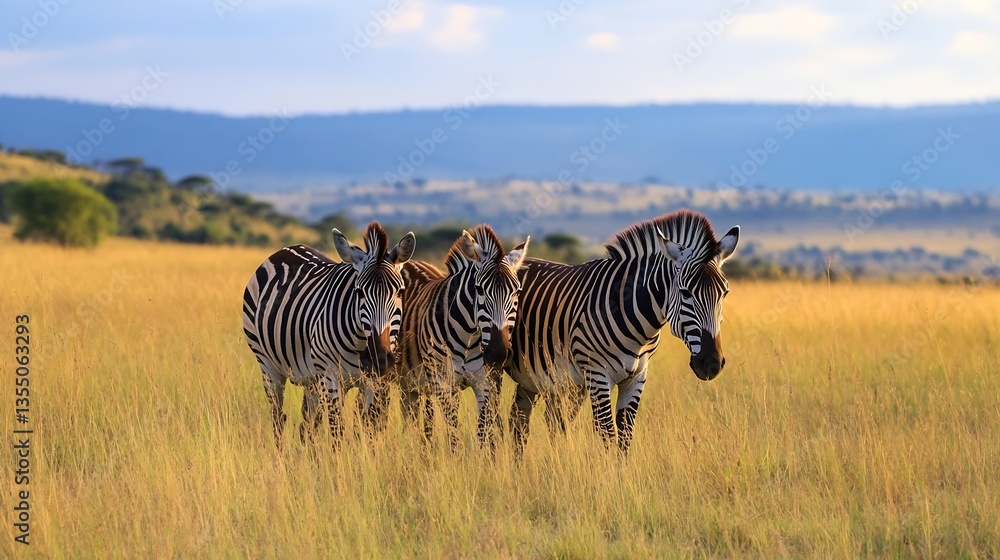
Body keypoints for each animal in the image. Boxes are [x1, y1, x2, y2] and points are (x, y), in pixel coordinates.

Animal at [242, 222, 415, 446]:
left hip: (312, 379)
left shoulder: (375, 382)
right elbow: (337, 431)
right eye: (359, 292)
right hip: (268, 366)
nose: (379, 358)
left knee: (307, 423)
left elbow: (368, 428)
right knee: (278, 417)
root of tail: (285, 250)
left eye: (400, 292)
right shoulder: (330, 377)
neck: (360, 343)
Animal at [397, 225, 528, 447]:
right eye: (479, 289)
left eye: (517, 292)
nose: (498, 353)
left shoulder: (485, 382)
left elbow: (482, 433)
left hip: (412, 383)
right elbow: (453, 436)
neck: (470, 338)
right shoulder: (443, 383)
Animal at [506, 209, 739, 454]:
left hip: (534, 375)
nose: (712, 364)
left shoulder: (637, 376)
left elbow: (625, 435)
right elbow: (607, 433)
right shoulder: (597, 374)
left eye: (725, 293)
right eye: (686, 293)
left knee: (521, 420)